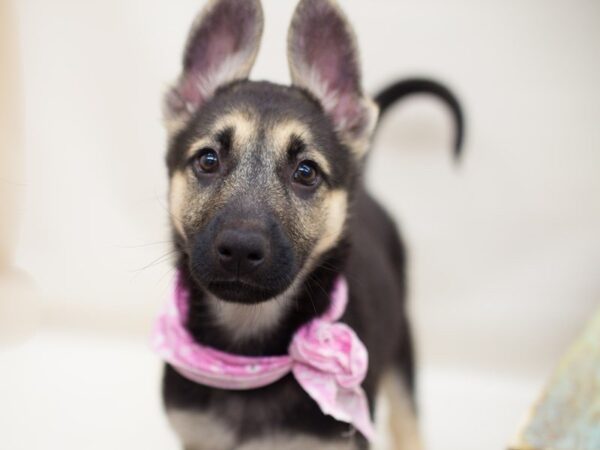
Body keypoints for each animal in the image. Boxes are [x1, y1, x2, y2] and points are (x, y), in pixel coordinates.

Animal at [158, 0, 464, 450]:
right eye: (208, 160)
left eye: (306, 172)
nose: (240, 248)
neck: (251, 352)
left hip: (402, 340)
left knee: (407, 421)